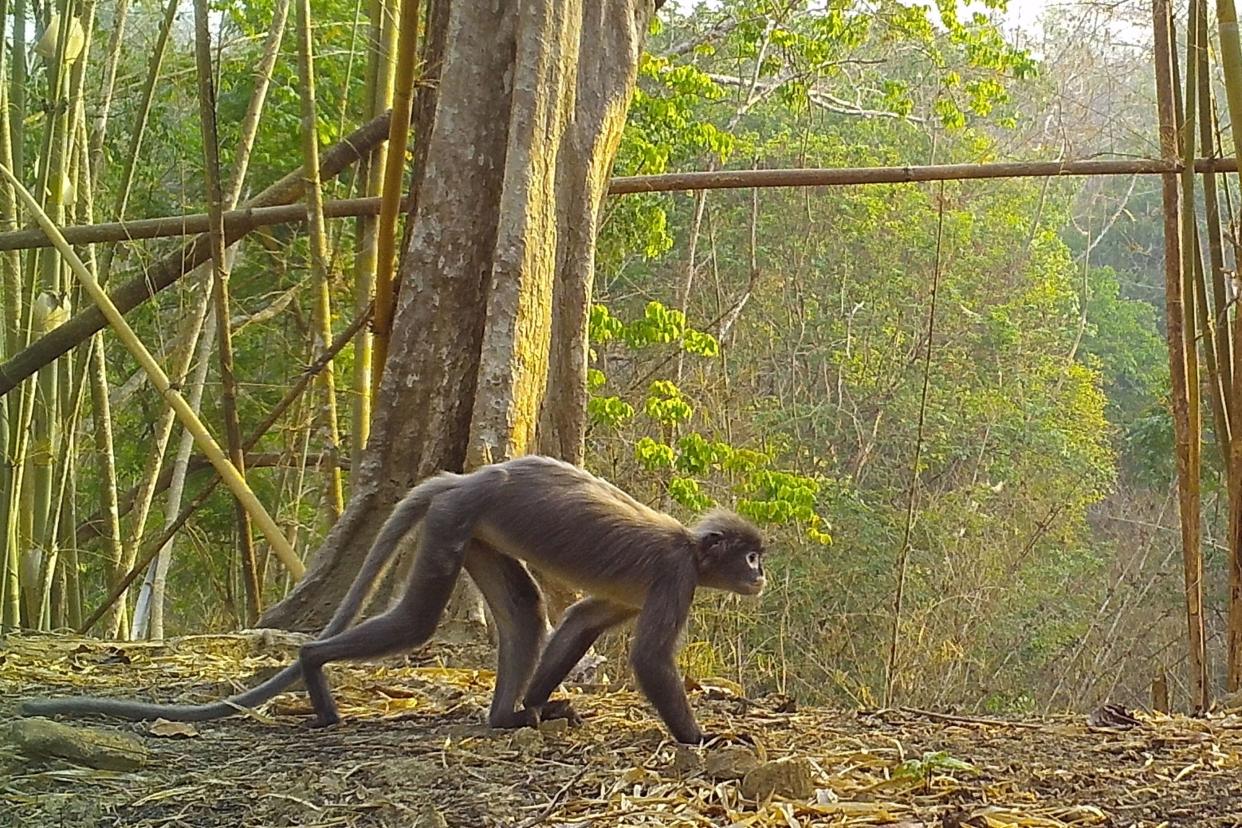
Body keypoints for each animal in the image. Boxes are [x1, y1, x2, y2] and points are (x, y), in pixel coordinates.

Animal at [21, 454, 765, 744]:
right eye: (750, 554)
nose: (760, 575)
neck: (693, 548)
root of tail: (466, 477)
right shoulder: (675, 574)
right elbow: (647, 660)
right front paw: (705, 738)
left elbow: (582, 618)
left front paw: (538, 706)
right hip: (456, 520)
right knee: (416, 620)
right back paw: (315, 668)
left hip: (471, 529)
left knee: (525, 611)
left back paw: (506, 717)